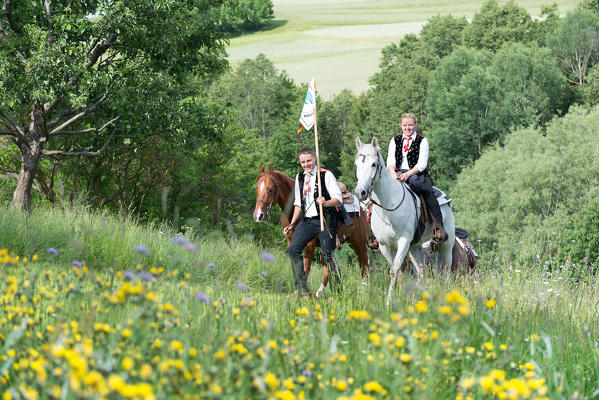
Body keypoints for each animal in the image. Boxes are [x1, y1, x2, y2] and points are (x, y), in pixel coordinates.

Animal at [253, 164, 370, 296]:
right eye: (256, 188)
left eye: (270, 189)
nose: (258, 215)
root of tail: (362, 209)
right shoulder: (291, 240)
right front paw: (298, 291)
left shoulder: (310, 244)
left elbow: (306, 267)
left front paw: (304, 293)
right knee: (328, 267)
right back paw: (320, 292)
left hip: (359, 246)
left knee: (364, 266)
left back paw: (364, 291)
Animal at [356, 136, 454, 304]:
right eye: (356, 164)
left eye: (373, 164)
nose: (360, 193)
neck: (388, 206)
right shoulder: (384, 245)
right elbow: (398, 273)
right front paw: (399, 298)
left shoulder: (403, 241)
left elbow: (395, 270)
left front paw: (389, 301)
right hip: (414, 247)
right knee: (421, 271)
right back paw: (417, 298)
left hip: (446, 244)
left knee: (447, 269)